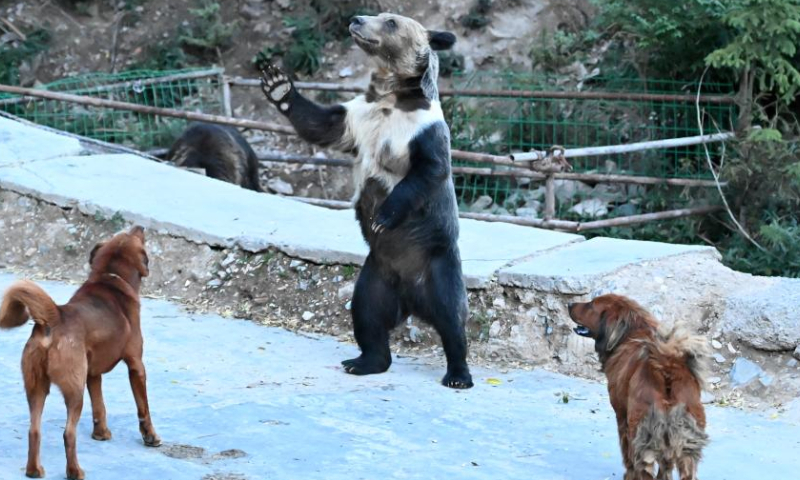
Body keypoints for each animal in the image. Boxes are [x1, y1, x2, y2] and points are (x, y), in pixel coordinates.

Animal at [0, 227, 159, 478]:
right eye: (134, 236)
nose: (140, 228)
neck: (110, 278)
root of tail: (54, 317)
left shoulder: (92, 374)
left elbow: (99, 406)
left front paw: (101, 433)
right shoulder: (136, 365)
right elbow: (143, 407)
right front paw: (150, 436)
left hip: (36, 387)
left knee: (34, 430)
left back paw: (34, 470)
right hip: (74, 391)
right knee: (68, 433)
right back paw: (74, 471)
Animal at [568, 292, 712, 480]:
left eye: (591, 304)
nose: (569, 304)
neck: (629, 333)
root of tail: (667, 368)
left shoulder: (622, 417)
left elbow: (627, 456)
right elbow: (665, 466)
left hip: (643, 435)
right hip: (686, 442)